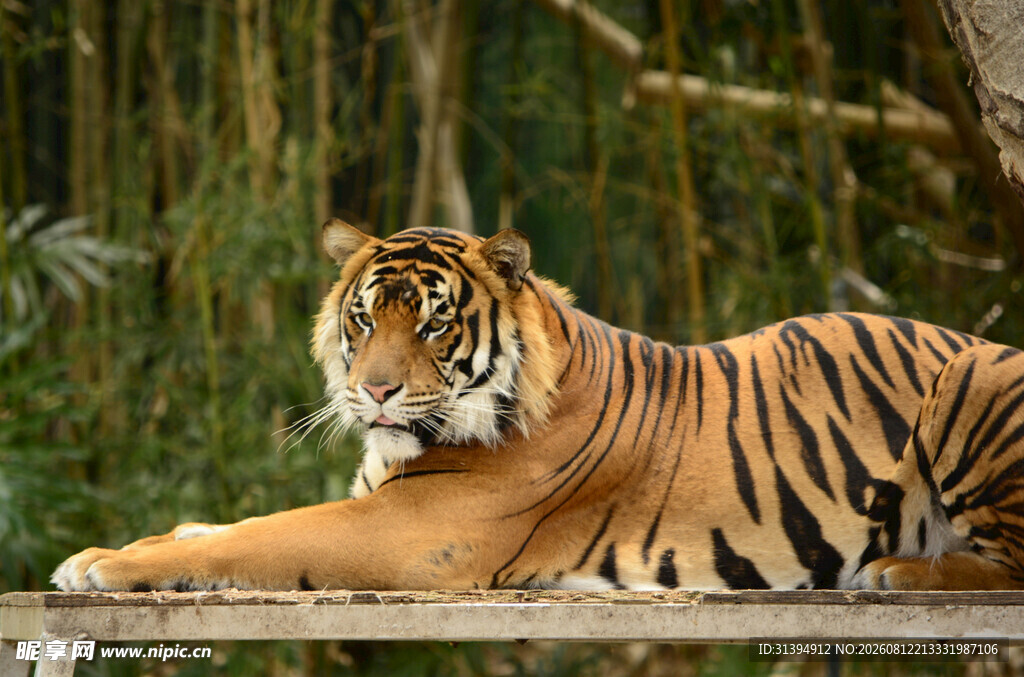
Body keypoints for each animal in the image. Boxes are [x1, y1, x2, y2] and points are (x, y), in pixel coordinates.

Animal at [53, 222, 1024, 593]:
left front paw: (104, 566)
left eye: (434, 321)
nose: (374, 389)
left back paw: (896, 571)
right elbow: (211, 526)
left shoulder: (410, 528)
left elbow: (254, 536)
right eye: (364, 318)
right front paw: (106, 551)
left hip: (969, 376)